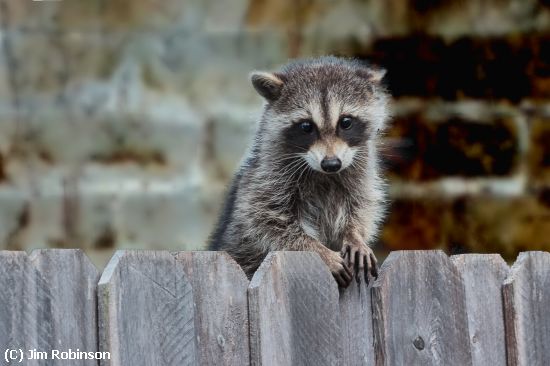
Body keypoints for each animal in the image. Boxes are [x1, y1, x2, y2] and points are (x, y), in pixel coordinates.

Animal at [208, 55, 392, 288]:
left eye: (346, 122)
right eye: (306, 127)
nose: (331, 164)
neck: (324, 175)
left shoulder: (359, 169)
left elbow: (362, 206)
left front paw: (355, 235)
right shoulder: (266, 178)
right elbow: (268, 222)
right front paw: (317, 249)